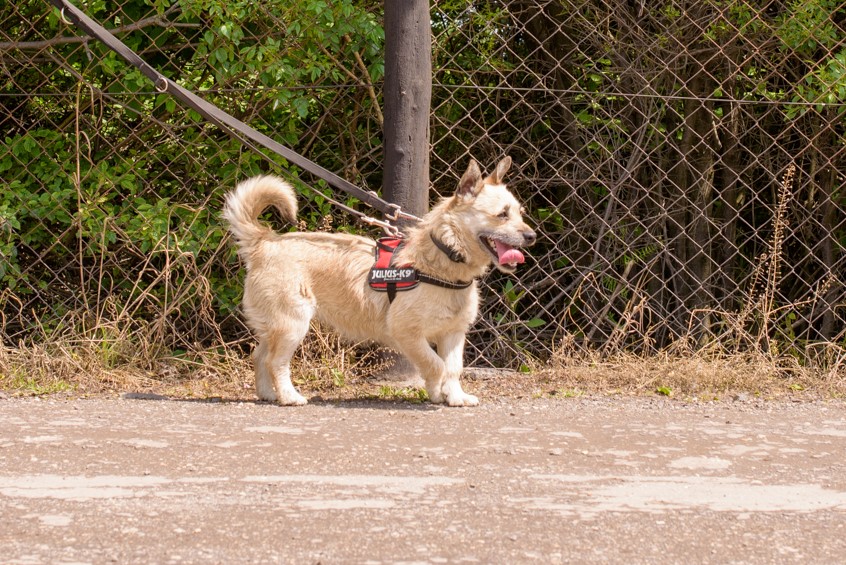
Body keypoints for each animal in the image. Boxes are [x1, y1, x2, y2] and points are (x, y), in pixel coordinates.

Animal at [222, 156, 536, 406]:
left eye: (520, 213)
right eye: (502, 214)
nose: (532, 236)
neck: (442, 260)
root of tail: (265, 241)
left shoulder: (454, 333)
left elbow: (453, 368)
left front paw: (454, 397)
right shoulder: (407, 333)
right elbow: (436, 365)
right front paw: (438, 392)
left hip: (275, 327)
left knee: (259, 356)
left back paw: (267, 394)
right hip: (292, 325)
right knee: (275, 362)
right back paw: (289, 397)